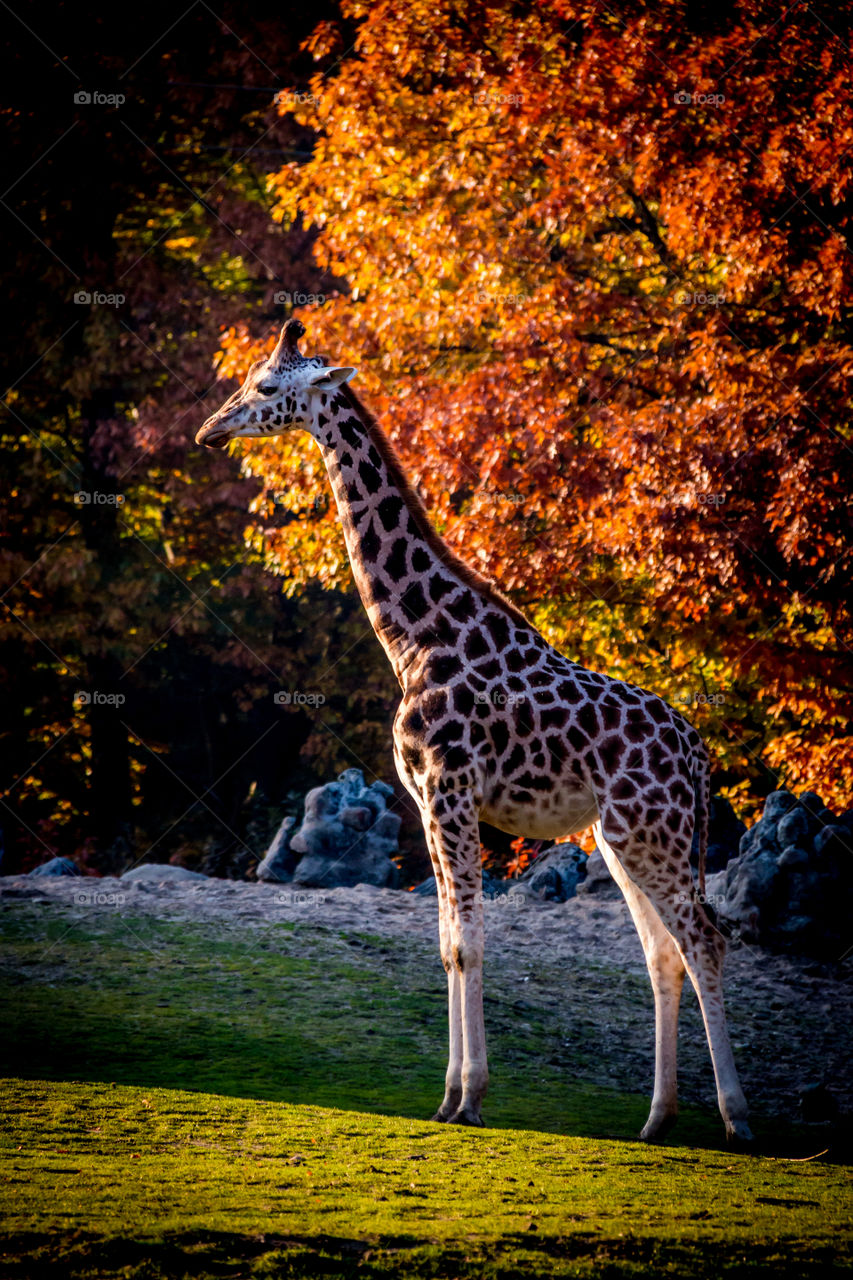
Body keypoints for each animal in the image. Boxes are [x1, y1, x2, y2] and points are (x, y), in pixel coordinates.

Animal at [195, 318, 753, 1146]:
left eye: (265, 387)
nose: (211, 428)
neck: (414, 637)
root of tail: (697, 759)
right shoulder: (426, 797)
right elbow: (446, 944)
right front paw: (449, 1097)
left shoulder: (452, 792)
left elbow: (467, 941)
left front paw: (470, 1098)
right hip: (625, 836)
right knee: (664, 952)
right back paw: (656, 1119)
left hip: (651, 832)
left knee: (704, 938)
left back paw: (735, 1118)